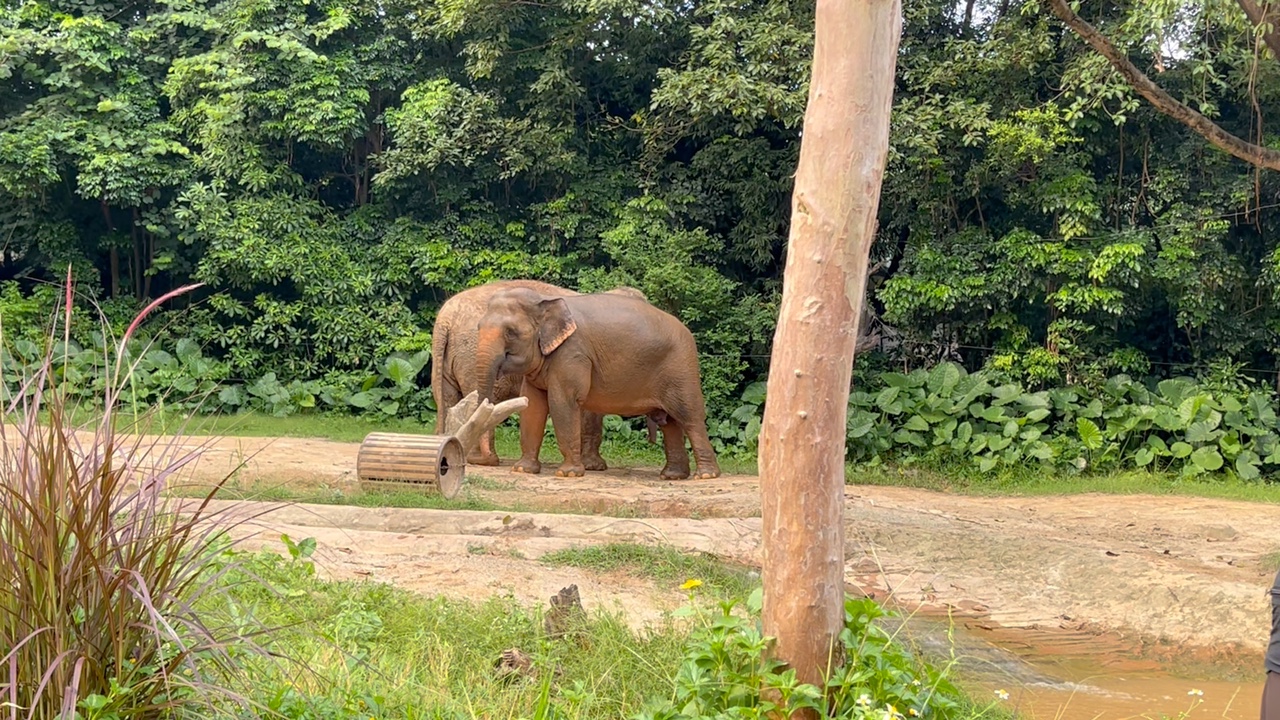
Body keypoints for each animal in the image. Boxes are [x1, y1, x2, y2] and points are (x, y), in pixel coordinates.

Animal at [432, 278, 655, 468]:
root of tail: (445, 318)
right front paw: (595, 466)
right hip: (469, 355)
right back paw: (482, 460)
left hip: (446, 360)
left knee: (449, 399)